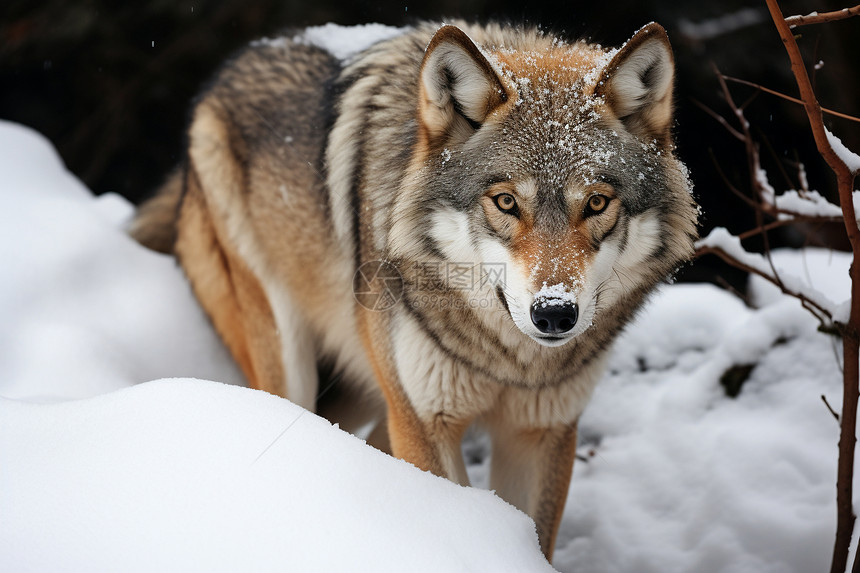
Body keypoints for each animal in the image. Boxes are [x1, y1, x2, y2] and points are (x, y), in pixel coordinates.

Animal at [131, 21, 696, 560]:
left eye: (597, 203)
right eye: (506, 202)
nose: (554, 312)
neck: (506, 362)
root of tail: (231, 68)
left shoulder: (542, 432)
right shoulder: (425, 421)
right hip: (293, 365)